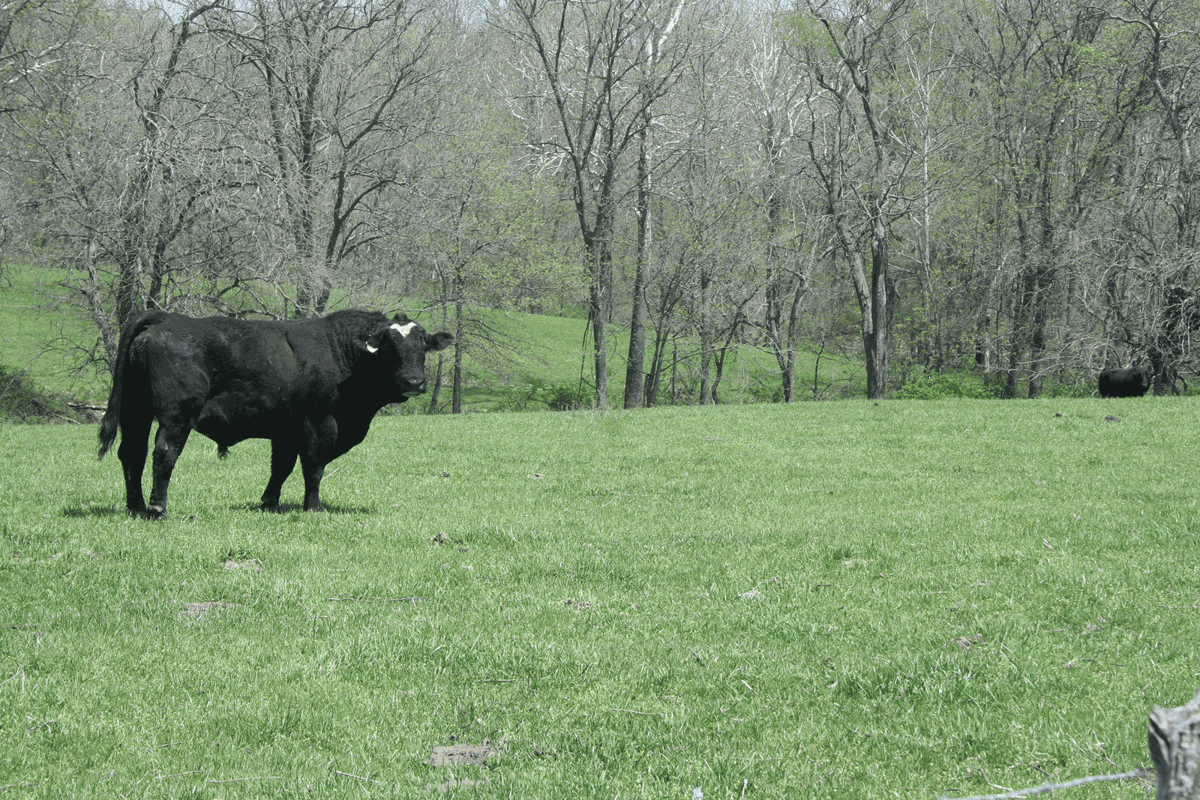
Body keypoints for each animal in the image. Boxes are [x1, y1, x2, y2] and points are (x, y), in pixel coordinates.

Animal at [97, 309, 452, 518]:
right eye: (389, 346)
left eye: (423, 346)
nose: (414, 382)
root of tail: (164, 319)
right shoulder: (319, 424)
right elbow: (314, 467)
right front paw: (314, 507)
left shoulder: (286, 430)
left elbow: (281, 467)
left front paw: (269, 502)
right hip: (176, 415)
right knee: (164, 453)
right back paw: (158, 507)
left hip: (135, 411)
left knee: (131, 453)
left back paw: (136, 507)